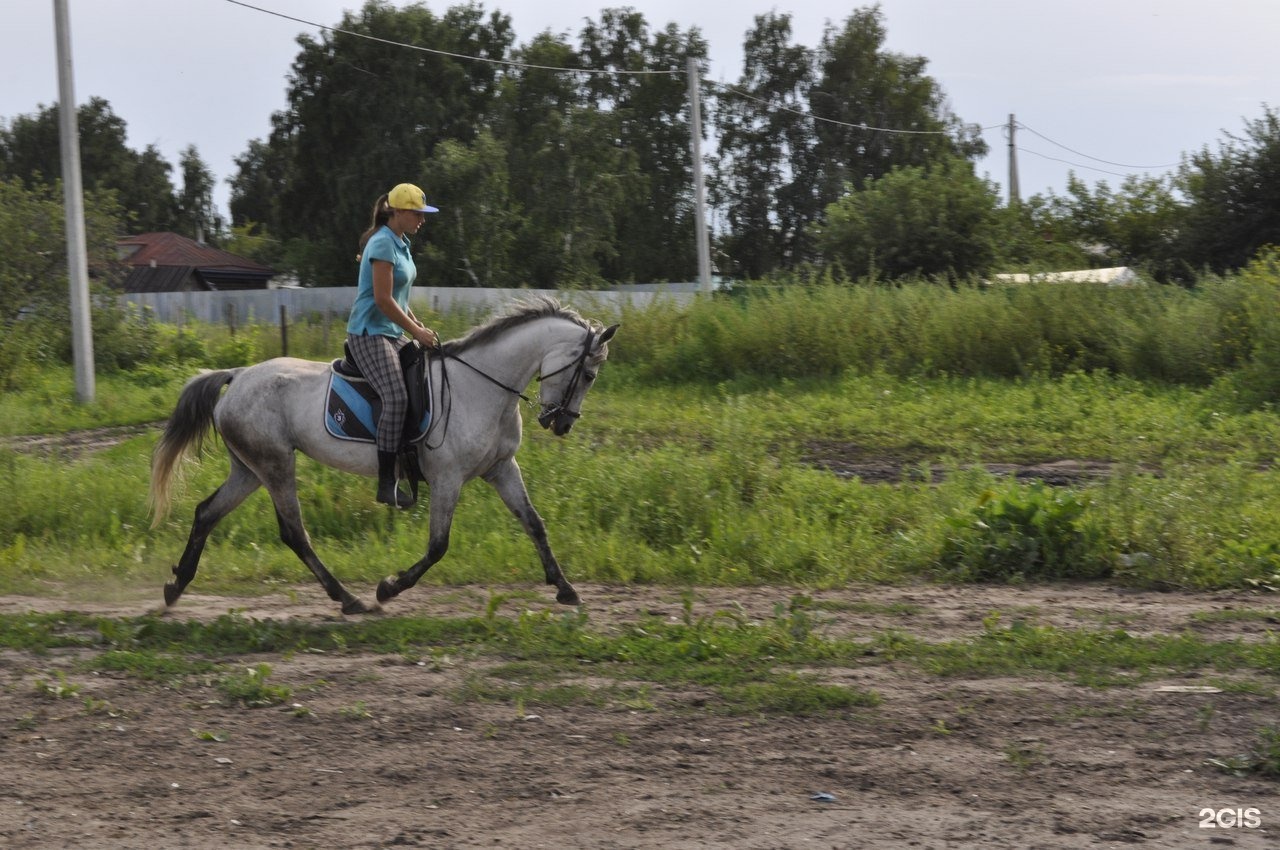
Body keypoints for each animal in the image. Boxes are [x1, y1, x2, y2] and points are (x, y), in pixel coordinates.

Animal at [149, 295, 619, 614]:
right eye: (589, 375)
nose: (561, 423)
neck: (481, 386)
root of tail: (239, 374)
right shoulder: (447, 478)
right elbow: (438, 546)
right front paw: (388, 588)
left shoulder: (502, 469)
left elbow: (534, 524)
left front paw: (565, 588)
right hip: (275, 464)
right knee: (294, 533)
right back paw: (349, 598)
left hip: (250, 469)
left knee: (206, 512)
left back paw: (176, 586)